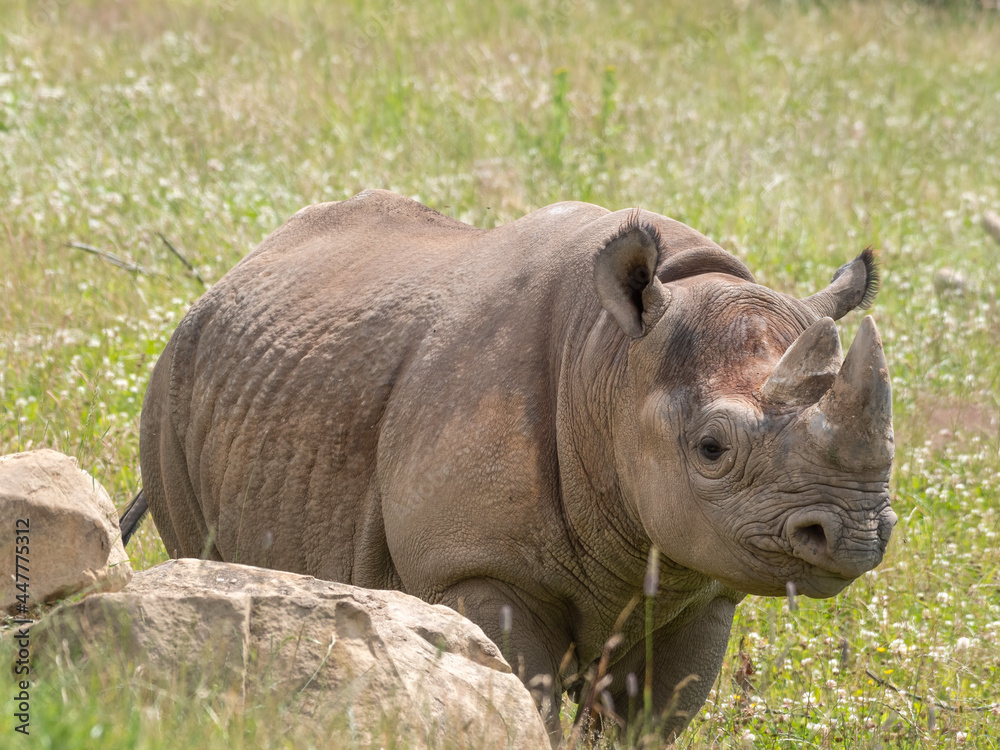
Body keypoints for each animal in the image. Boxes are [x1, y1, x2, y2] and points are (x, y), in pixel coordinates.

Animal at [121, 189, 895, 743]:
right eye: (711, 449)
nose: (856, 533)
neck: (613, 366)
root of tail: (231, 274)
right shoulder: (478, 564)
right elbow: (523, 700)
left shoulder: (701, 586)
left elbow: (644, 723)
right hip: (169, 390)